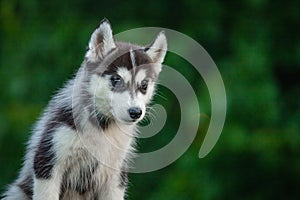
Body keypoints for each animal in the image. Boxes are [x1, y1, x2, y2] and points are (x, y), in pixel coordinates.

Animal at [1, 18, 168, 200]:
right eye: (116, 79)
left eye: (144, 86)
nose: (136, 112)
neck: (103, 128)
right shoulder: (48, 162)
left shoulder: (115, 175)